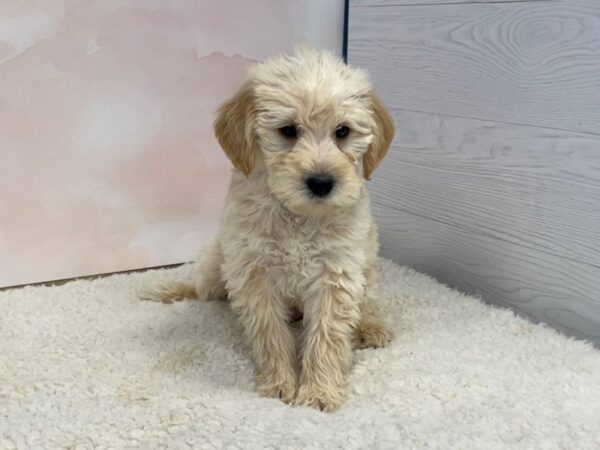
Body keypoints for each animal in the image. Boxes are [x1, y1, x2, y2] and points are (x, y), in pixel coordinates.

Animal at [145, 46, 394, 412]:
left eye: (343, 131)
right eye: (288, 131)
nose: (321, 182)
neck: (298, 216)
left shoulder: (336, 273)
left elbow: (327, 336)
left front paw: (319, 391)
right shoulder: (253, 272)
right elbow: (270, 333)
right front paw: (279, 383)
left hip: (368, 261)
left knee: (369, 299)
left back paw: (370, 326)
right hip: (216, 261)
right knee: (204, 290)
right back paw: (173, 289)